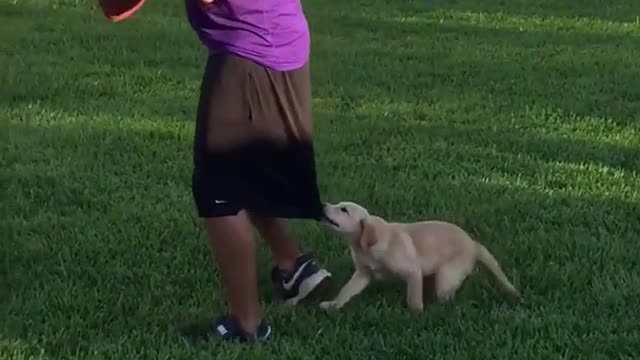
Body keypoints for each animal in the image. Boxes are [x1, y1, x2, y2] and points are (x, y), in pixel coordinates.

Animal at [320, 201, 520, 310]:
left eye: (344, 210)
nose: (322, 205)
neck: (365, 245)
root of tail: (473, 244)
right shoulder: (363, 273)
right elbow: (346, 290)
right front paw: (333, 305)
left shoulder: (412, 271)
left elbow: (413, 298)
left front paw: (416, 315)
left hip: (447, 275)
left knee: (447, 297)